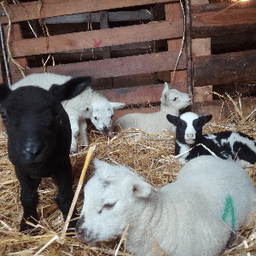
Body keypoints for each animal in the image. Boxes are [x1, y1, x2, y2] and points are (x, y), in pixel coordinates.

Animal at [0, 76, 91, 232]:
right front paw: (28, 224)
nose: (32, 151)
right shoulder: (20, 168)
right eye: (4, 115)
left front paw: (71, 223)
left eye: (56, 114)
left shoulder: (63, 164)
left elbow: (65, 197)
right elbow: (27, 197)